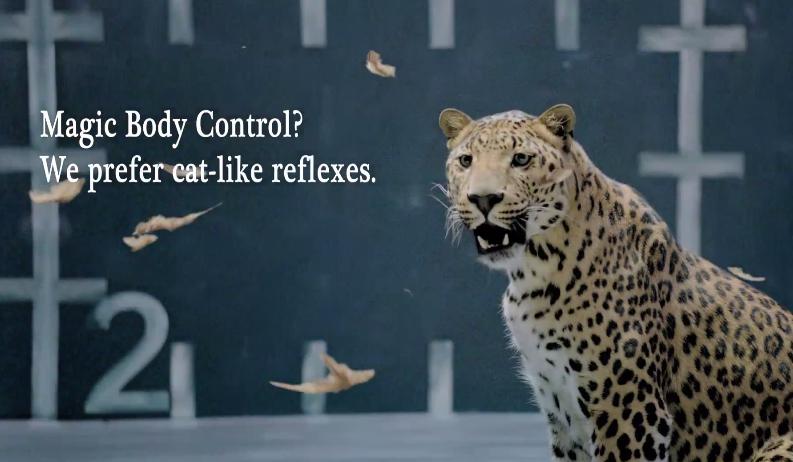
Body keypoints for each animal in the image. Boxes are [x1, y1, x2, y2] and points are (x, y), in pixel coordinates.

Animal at [438, 104, 793, 462]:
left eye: (521, 159)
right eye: (466, 161)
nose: (483, 199)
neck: (533, 270)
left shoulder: (630, 408)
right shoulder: (561, 411)